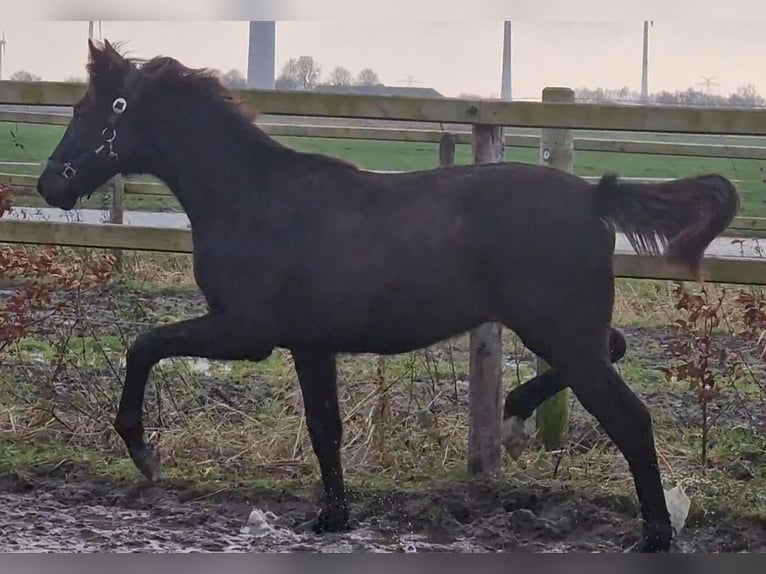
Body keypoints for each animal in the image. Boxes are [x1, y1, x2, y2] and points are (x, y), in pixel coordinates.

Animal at [35, 39, 740, 553]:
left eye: (84, 113)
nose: (50, 184)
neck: (250, 198)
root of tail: (595, 197)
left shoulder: (247, 330)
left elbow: (144, 344)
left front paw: (144, 453)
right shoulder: (308, 342)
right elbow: (325, 428)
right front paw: (332, 517)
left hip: (563, 334)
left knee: (632, 419)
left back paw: (653, 535)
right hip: (567, 331)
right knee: (614, 350)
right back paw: (514, 412)